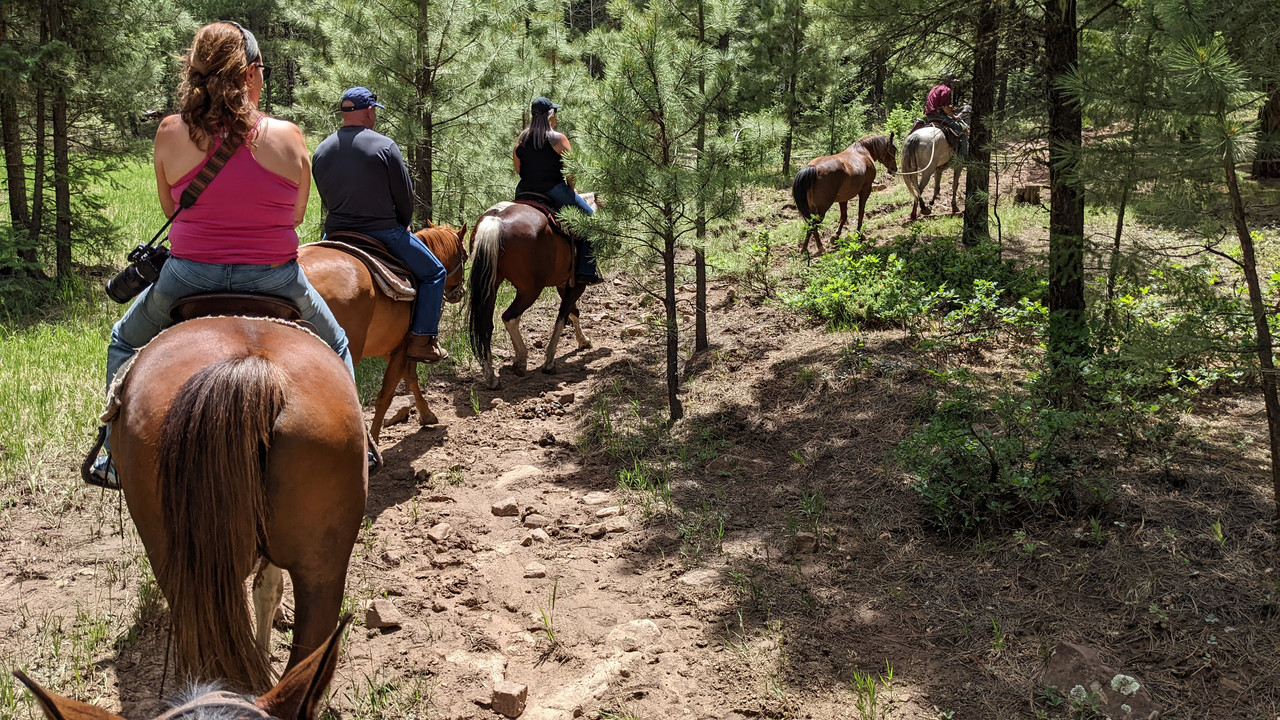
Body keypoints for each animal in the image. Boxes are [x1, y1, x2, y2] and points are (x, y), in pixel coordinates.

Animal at [296, 222, 468, 438]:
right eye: (465, 255)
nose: (460, 292)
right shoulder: (401, 347)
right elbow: (387, 393)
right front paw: (375, 438)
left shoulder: (390, 348)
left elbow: (410, 377)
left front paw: (427, 414)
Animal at [468, 194, 596, 386]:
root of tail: (496, 219)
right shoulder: (576, 285)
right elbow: (563, 316)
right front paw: (549, 361)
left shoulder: (563, 284)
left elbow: (573, 312)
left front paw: (583, 340)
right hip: (530, 290)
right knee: (510, 317)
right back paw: (520, 359)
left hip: (490, 287)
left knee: (486, 325)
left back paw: (491, 377)